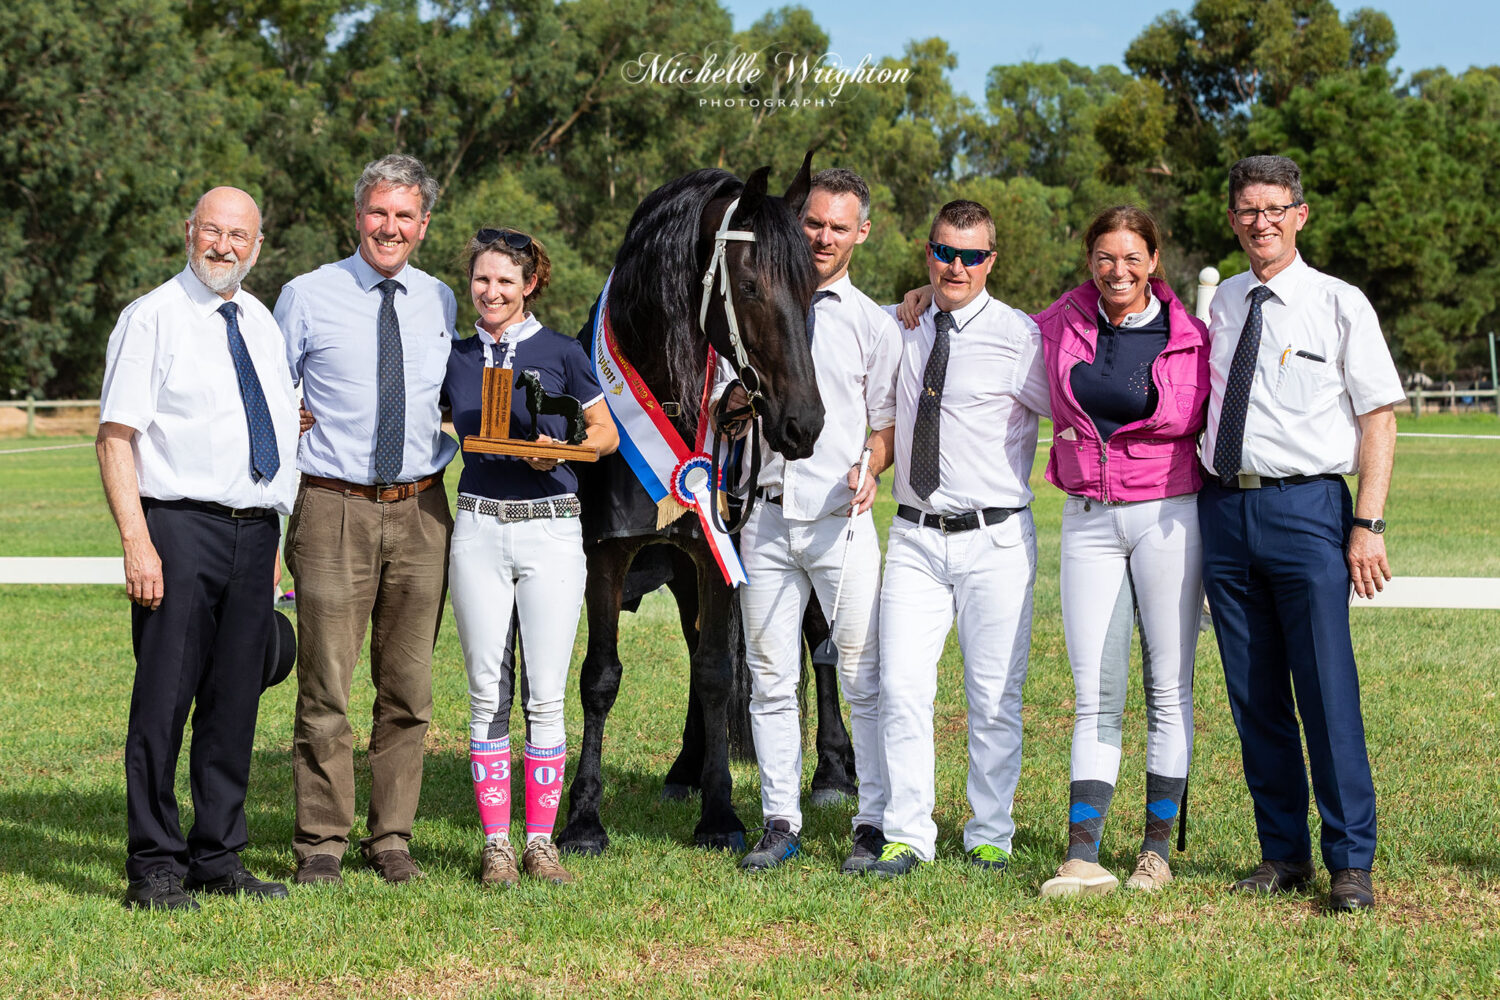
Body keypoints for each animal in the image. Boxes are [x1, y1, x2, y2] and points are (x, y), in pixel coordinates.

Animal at [561, 160, 828, 857]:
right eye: (752, 286)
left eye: (812, 287)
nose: (805, 423)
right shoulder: (608, 556)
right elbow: (601, 677)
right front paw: (582, 818)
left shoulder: (713, 556)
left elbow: (712, 671)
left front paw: (721, 813)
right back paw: (682, 768)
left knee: (815, 647)